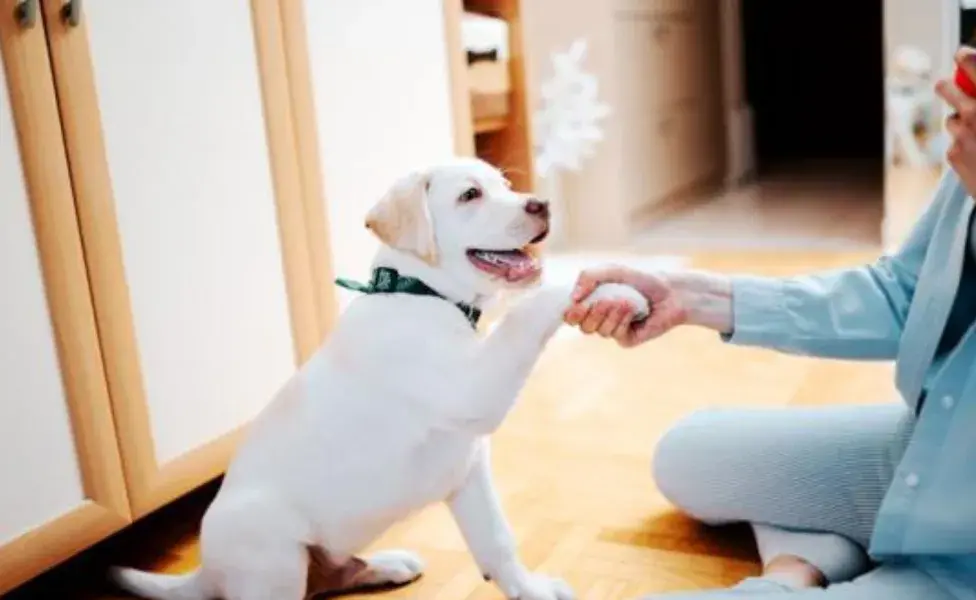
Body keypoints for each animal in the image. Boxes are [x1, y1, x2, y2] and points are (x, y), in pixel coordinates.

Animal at [112, 158, 648, 600]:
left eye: (506, 184)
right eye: (470, 195)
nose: (542, 204)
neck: (421, 293)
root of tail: (206, 573)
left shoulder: (469, 469)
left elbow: (497, 541)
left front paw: (531, 590)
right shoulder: (475, 387)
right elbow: (527, 310)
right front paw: (610, 289)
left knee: (328, 580)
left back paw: (388, 565)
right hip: (273, 553)